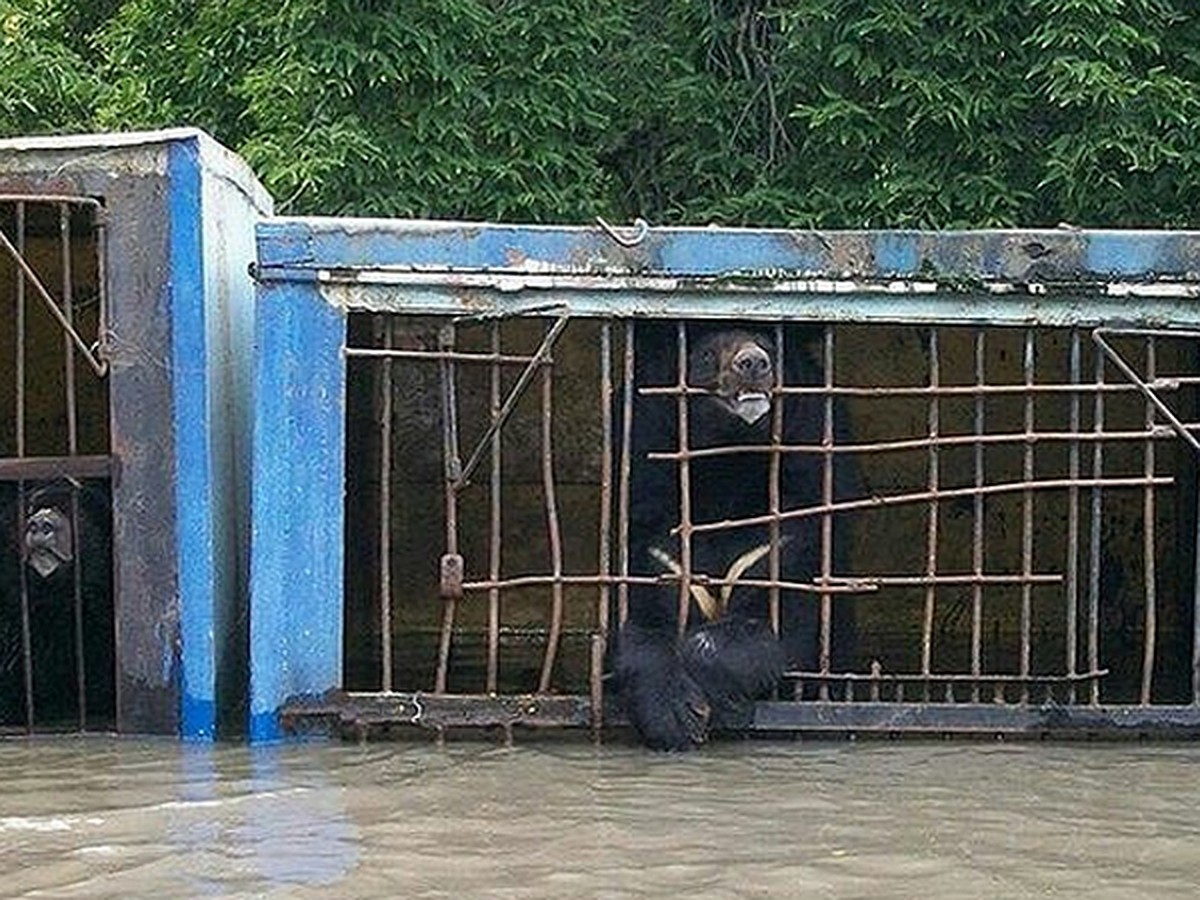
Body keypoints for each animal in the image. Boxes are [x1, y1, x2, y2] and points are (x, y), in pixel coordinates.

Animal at [619, 321, 854, 748]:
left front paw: (712, 701)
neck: (728, 462)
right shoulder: (647, 518)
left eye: (769, 348)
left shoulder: (797, 528)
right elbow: (641, 624)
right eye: (706, 354)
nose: (753, 363)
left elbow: (787, 627)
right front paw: (673, 715)